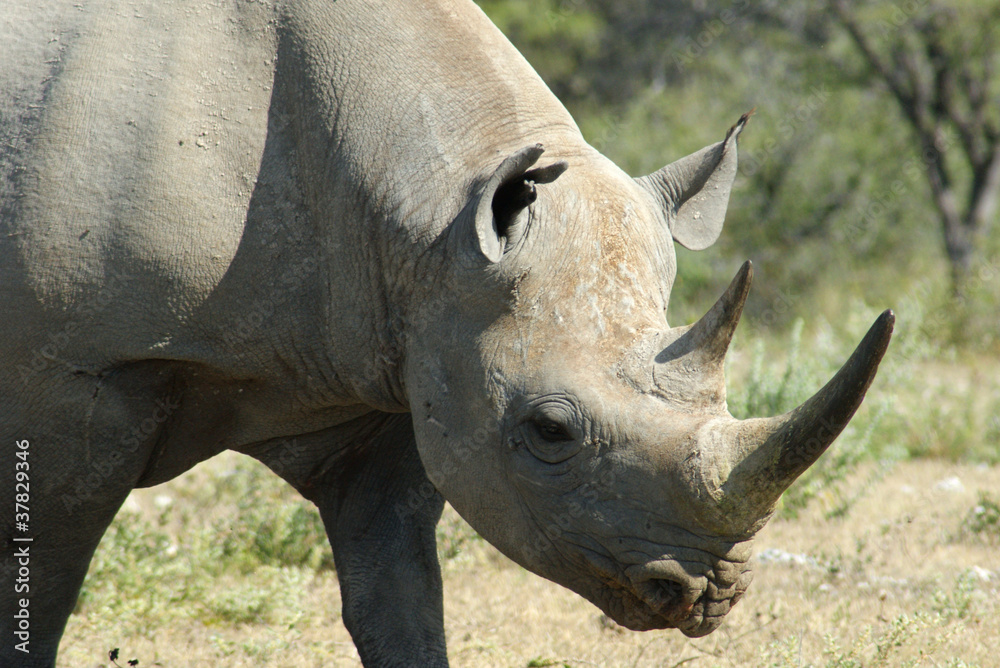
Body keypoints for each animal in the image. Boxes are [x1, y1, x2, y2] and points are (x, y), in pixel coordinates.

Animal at [0, 0, 893, 665]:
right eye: (550, 431)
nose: (707, 593)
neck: (426, 212)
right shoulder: (80, 371)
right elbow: (42, 579)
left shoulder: (408, 361)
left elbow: (399, 599)